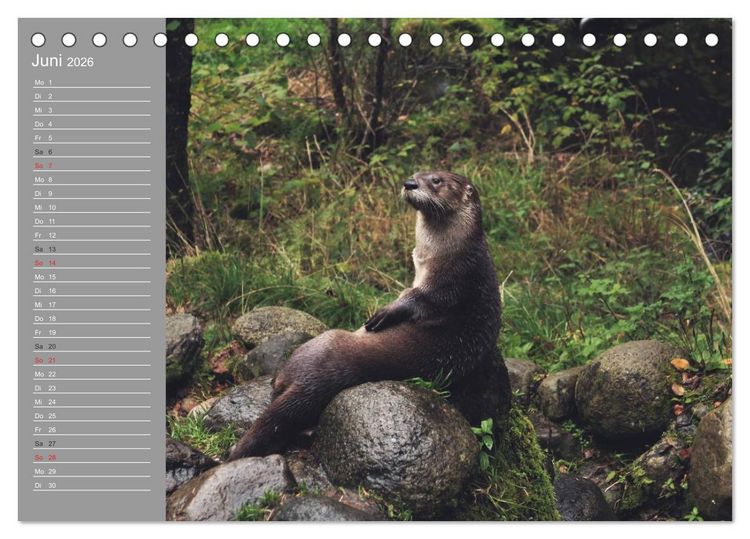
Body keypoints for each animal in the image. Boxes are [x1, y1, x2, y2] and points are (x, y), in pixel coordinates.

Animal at [227, 171, 510, 460]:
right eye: (416, 173)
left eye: (437, 180)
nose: (410, 183)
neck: (450, 251)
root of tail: (311, 383)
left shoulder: (452, 280)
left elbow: (418, 299)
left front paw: (385, 313)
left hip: (319, 345)